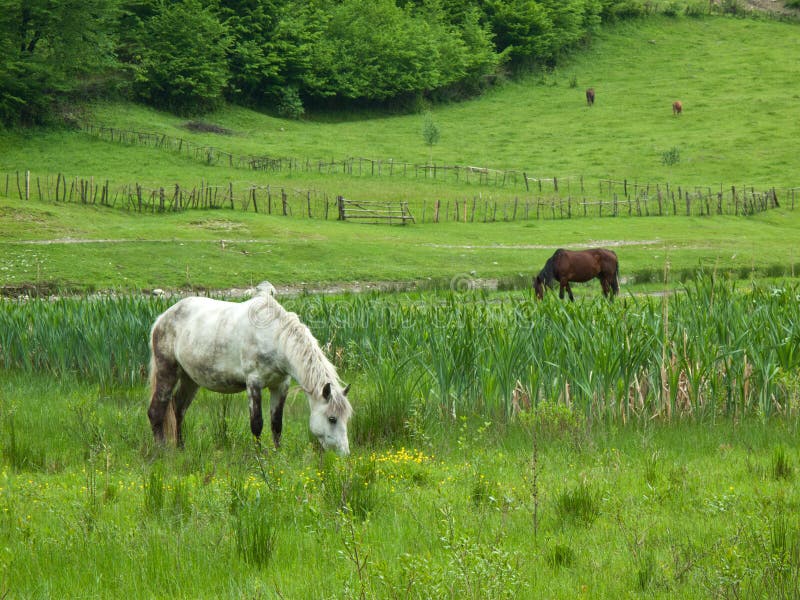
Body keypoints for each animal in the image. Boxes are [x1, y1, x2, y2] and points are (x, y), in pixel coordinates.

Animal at [148, 282, 354, 454]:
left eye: (346, 418)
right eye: (332, 418)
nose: (344, 454)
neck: (275, 338)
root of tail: (161, 318)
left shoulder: (281, 385)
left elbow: (276, 424)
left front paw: (278, 455)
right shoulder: (254, 383)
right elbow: (257, 424)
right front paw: (259, 457)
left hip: (190, 379)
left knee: (178, 409)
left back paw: (181, 448)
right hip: (167, 371)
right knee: (156, 411)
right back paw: (161, 451)